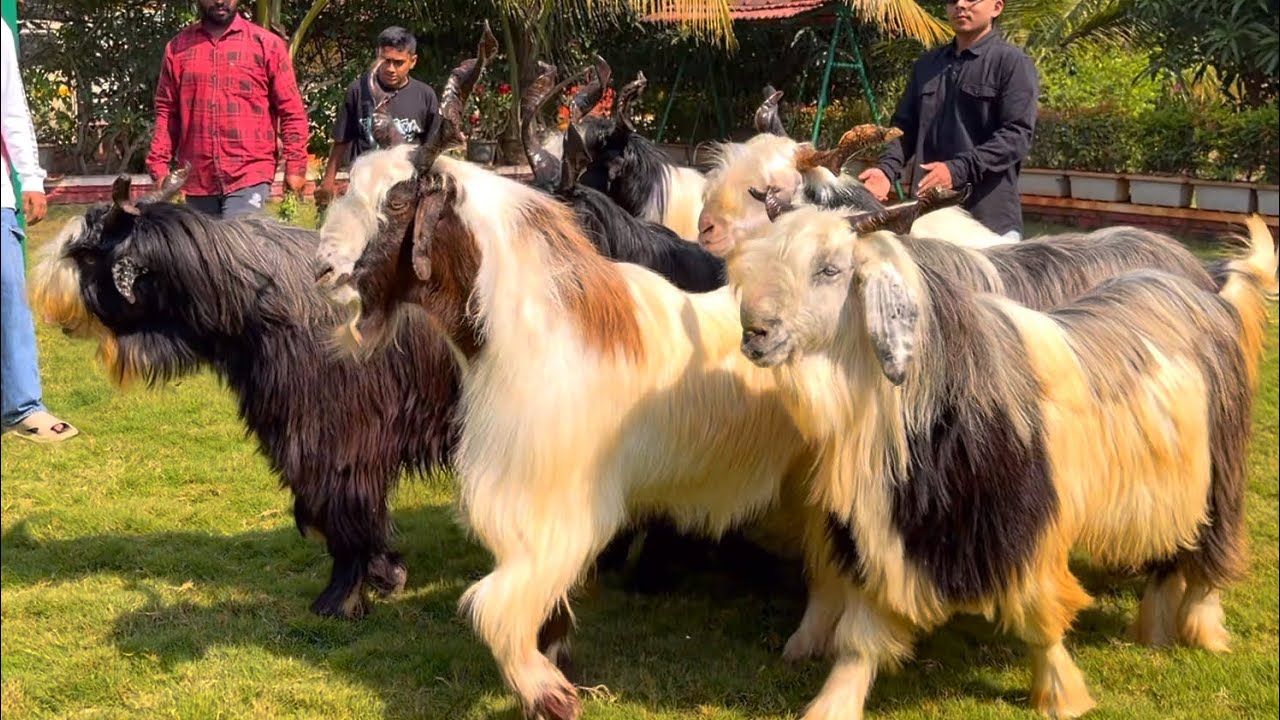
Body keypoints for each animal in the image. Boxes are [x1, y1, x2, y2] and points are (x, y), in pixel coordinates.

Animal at [27, 174, 460, 620]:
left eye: (87, 255)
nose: (45, 300)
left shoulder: (339, 444)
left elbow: (341, 513)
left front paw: (343, 596)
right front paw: (384, 571)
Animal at [313, 124, 818, 720]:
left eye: (395, 201)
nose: (323, 270)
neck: (541, 330)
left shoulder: (559, 506)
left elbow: (498, 606)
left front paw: (547, 692)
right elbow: (541, 606)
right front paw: (558, 668)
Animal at [730, 205, 1275, 720]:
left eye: (829, 269)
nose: (754, 334)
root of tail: (1207, 293)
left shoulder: (1026, 531)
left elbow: (1041, 621)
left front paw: (1061, 696)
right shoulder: (884, 537)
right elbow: (860, 637)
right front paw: (831, 703)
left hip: (1220, 479)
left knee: (1208, 556)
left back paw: (1204, 630)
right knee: (1168, 557)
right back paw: (1154, 628)